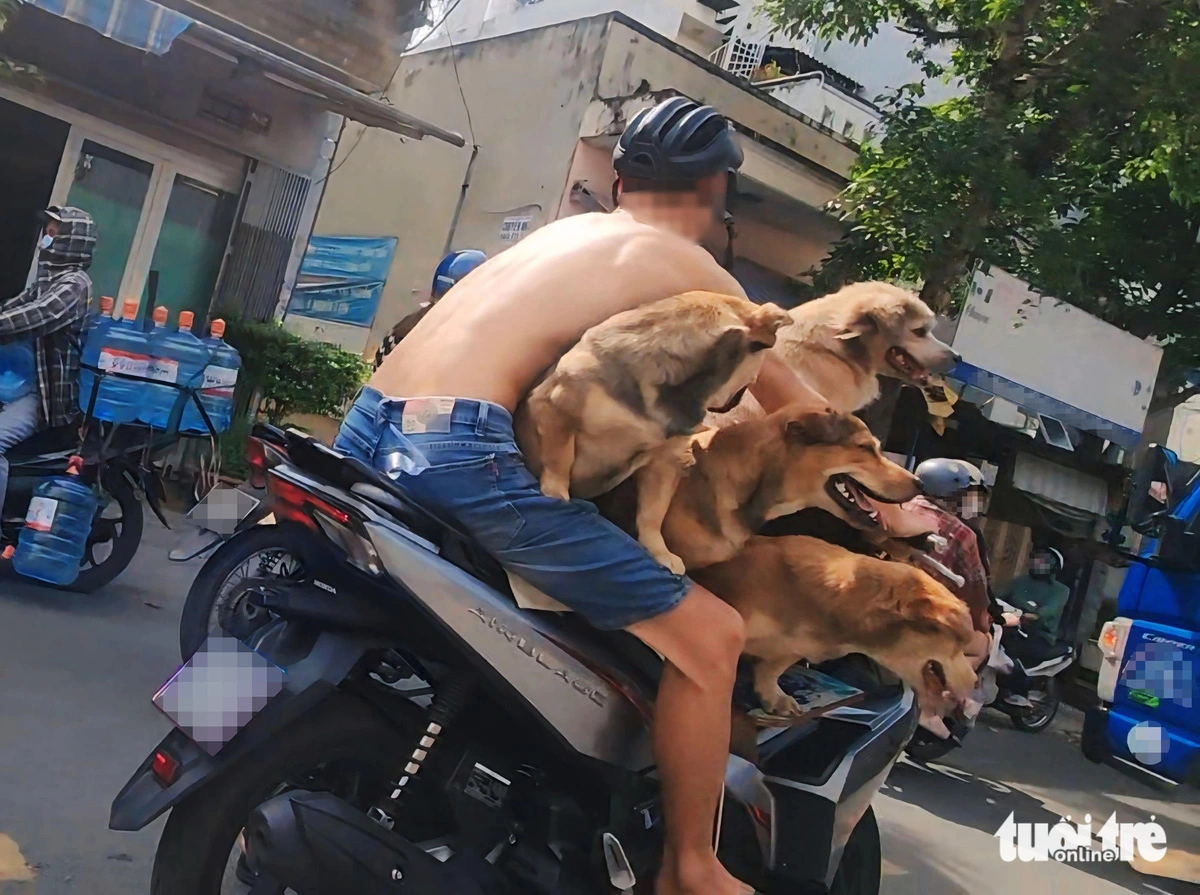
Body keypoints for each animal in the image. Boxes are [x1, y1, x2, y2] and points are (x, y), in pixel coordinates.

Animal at [513, 292, 787, 571]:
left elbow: (653, 513)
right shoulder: (557, 409)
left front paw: (659, 552)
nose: (738, 400)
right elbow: (559, 460)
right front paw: (556, 493)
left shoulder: (664, 464)